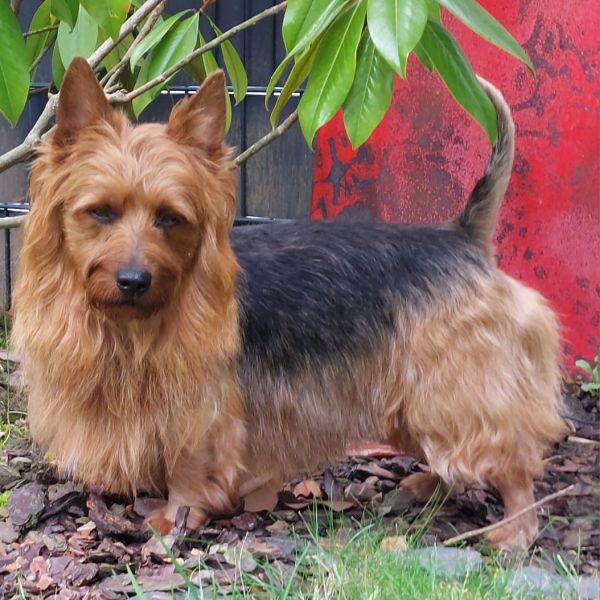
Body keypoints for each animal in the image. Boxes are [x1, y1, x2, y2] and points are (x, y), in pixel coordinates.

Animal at [12, 56, 568, 548]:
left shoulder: (204, 408)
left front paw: (176, 517)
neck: (132, 324)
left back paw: (515, 530)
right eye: (100, 212)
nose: (133, 280)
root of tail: (462, 235)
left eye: (170, 218)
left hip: (456, 387)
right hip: (414, 396)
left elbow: (190, 467)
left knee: (508, 458)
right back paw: (427, 487)